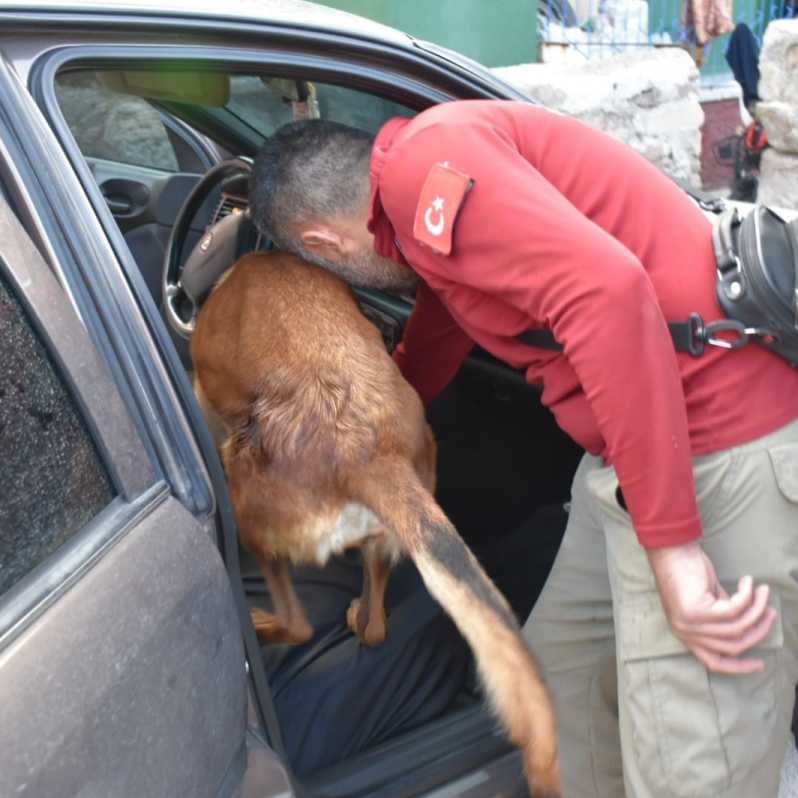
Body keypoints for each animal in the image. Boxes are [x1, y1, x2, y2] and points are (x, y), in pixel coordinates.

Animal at [192, 252, 564, 798]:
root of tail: (369, 452)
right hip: (387, 534)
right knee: (375, 630)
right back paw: (356, 614)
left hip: (247, 507)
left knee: (301, 625)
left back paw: (264, 626)